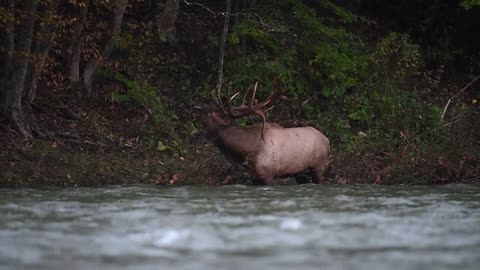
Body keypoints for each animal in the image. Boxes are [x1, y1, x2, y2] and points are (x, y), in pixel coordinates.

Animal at [195, 81, 330, 185]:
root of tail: (327, 140)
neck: (246, 152)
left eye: (210, 113)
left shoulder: (268, 175)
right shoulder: (254, 178)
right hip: (300, 173)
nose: (197, 107)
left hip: (319, 166)